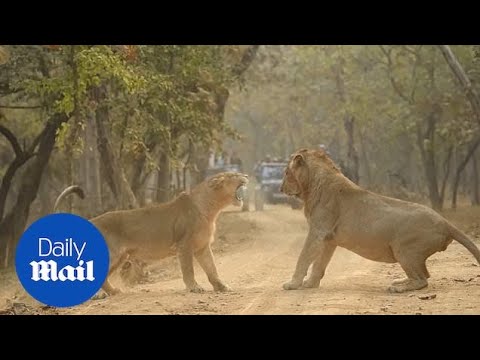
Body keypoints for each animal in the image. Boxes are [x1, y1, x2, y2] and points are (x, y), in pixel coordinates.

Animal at [282, 148, 480, 292]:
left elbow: (303, 257)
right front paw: (310, 283)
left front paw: (292, 284)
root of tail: (445, 222)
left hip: (404, 250)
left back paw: (398, 288)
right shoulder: (329, 239)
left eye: (286, 172)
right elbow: (319, 263)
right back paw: (400, 281)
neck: (312, 185)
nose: (280, 188)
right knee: (425, 275)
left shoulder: (318, 231)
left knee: (422, 280)